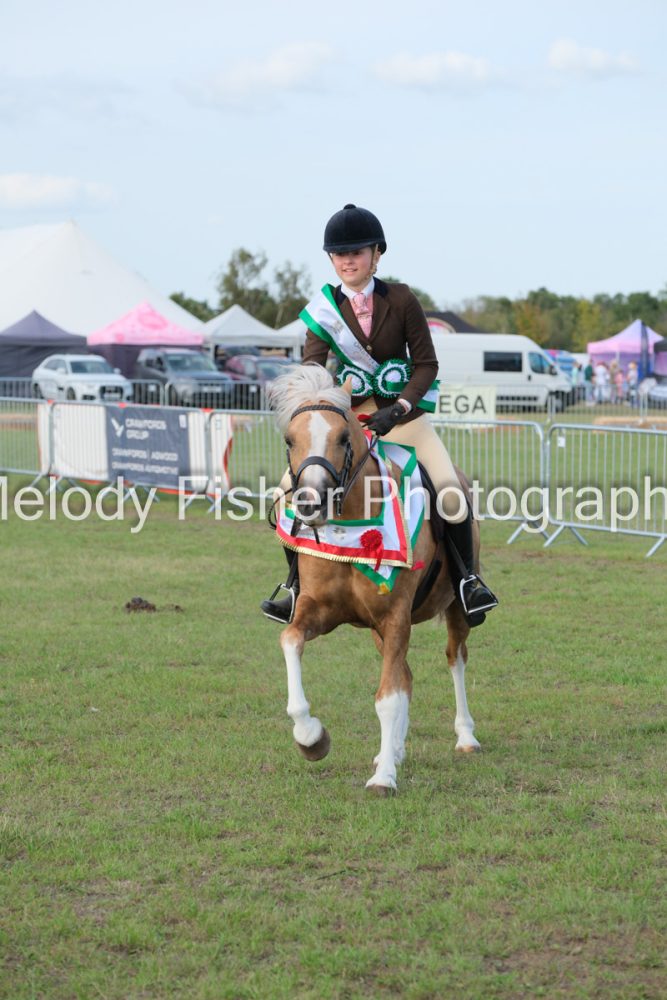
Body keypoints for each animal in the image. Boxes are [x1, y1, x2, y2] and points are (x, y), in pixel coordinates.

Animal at [267, 365, 482, 795]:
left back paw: (464, 736)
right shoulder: (318, 612)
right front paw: (312, 739)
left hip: (455, 608)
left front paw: (383, 779)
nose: (310, 503)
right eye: (289, 439)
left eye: (343, 437)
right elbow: (290, 642)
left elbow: (387, 698)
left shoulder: (395, 616)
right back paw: (393, 752)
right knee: (405, 674)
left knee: (455, 659)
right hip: (377, 630)